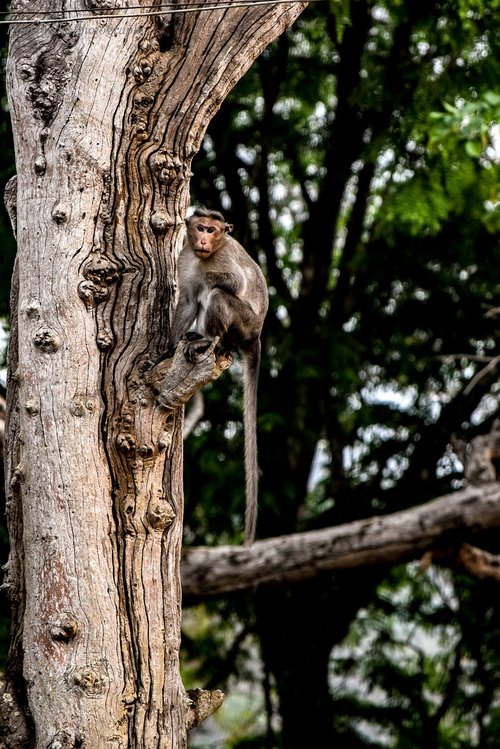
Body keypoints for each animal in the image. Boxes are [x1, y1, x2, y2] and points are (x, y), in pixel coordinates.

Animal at [169, 207, 270, 548]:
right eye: (201, 227)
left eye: (212, 230)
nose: (203, 239)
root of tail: (257, 334)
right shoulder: (185, 258)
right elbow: (187, 300)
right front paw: (165, 349)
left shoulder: (223, 258)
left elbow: (231, 281)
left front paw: (209, 277)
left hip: (244, 322)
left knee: (218, 296)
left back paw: (208, 341)